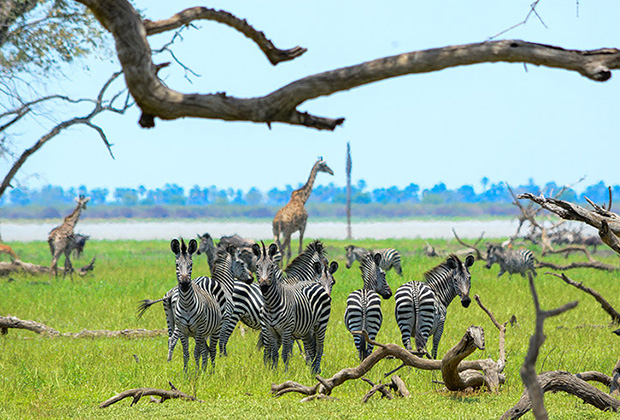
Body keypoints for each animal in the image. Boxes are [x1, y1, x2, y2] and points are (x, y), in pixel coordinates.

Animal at [168, 240, 222, 370]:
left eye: (191, 264)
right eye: (177, 264)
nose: (184, 284)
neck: (186, 305)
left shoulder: (199, 330)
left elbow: (196, 352)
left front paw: (197, 373)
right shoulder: (182, 330)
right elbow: (186, 353)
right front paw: (186, 372)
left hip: (215, 329)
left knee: (212, 350)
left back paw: (211, 372)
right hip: (203, 334)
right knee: (205, 351)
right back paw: (204, 370)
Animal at [252, 243, 332, 374]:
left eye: (272, 266)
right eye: (257, 266)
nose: (263, 286)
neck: (271, 303)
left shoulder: (286, 330)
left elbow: (285, 353)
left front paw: (284, 374)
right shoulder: (273, 330)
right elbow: (277, 354)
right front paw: (274, 373)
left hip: (320, 325)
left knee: (319, 348)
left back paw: (315, 370)